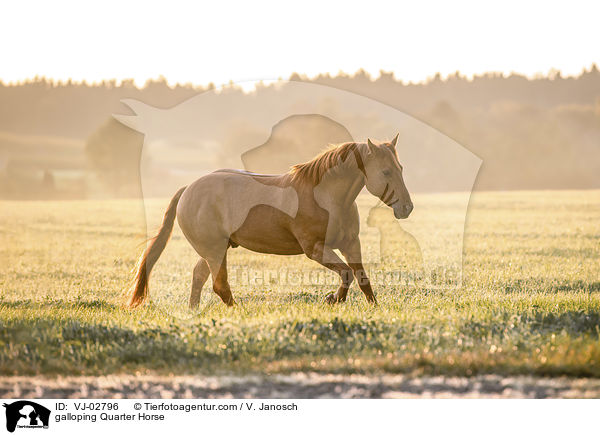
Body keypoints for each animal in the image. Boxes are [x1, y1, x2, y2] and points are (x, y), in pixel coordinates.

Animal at [126, 135, 412, 308]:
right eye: (386, 171)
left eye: (401, 168)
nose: (407, 208)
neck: (326, 197)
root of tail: (188, 189)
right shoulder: (314, 249)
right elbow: (346, 273)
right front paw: (333, 299)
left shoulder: (351, 243)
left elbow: (361, 278)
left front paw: (373, 308)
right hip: (214, 250)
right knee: (219, 285)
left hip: (216, 249)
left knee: (199, 276)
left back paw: (194, 311)